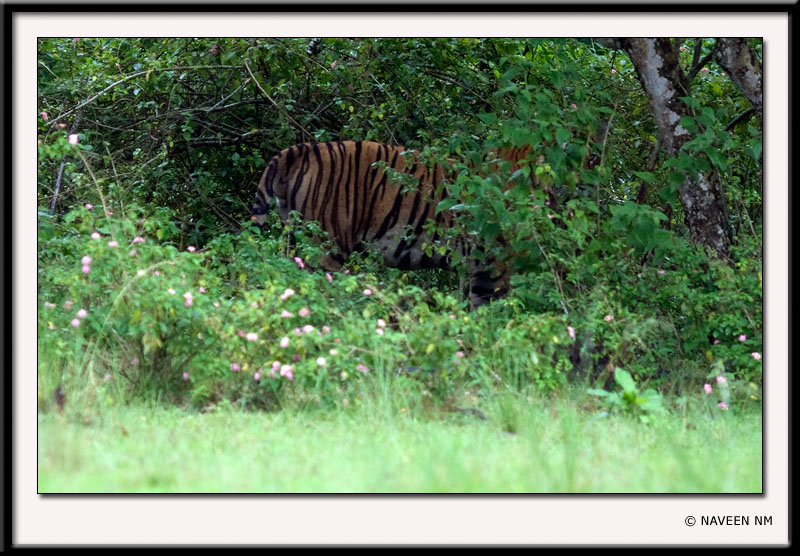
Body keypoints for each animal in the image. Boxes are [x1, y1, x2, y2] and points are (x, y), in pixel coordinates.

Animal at [252, 131, 605, 307]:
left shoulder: (476, 268)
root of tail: (295, 152)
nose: (596, 163)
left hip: (294, 240)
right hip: (325, 249)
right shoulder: (496, 265)